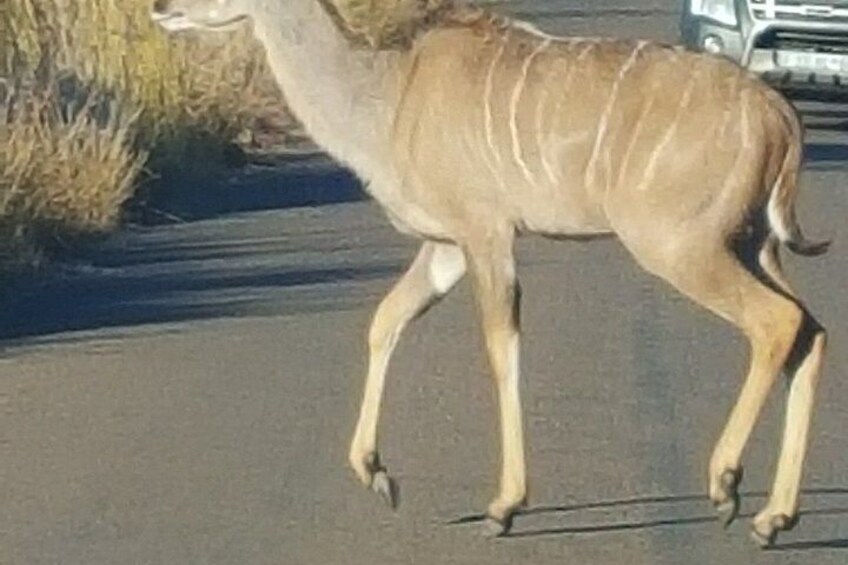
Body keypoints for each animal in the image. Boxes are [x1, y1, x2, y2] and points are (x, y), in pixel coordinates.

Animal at [151, 0, 830, 548]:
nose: (160, 8)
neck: (389, 98)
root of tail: (777, 114)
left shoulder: (486, 234)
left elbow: (501, 347)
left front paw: (503, 506)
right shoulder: (446, 247)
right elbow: (385, 321)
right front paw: (377, 473)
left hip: (679, 244)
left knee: (776, 322)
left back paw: (726, 486)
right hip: (755, 245)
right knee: (811, 331)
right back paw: (774, 517)